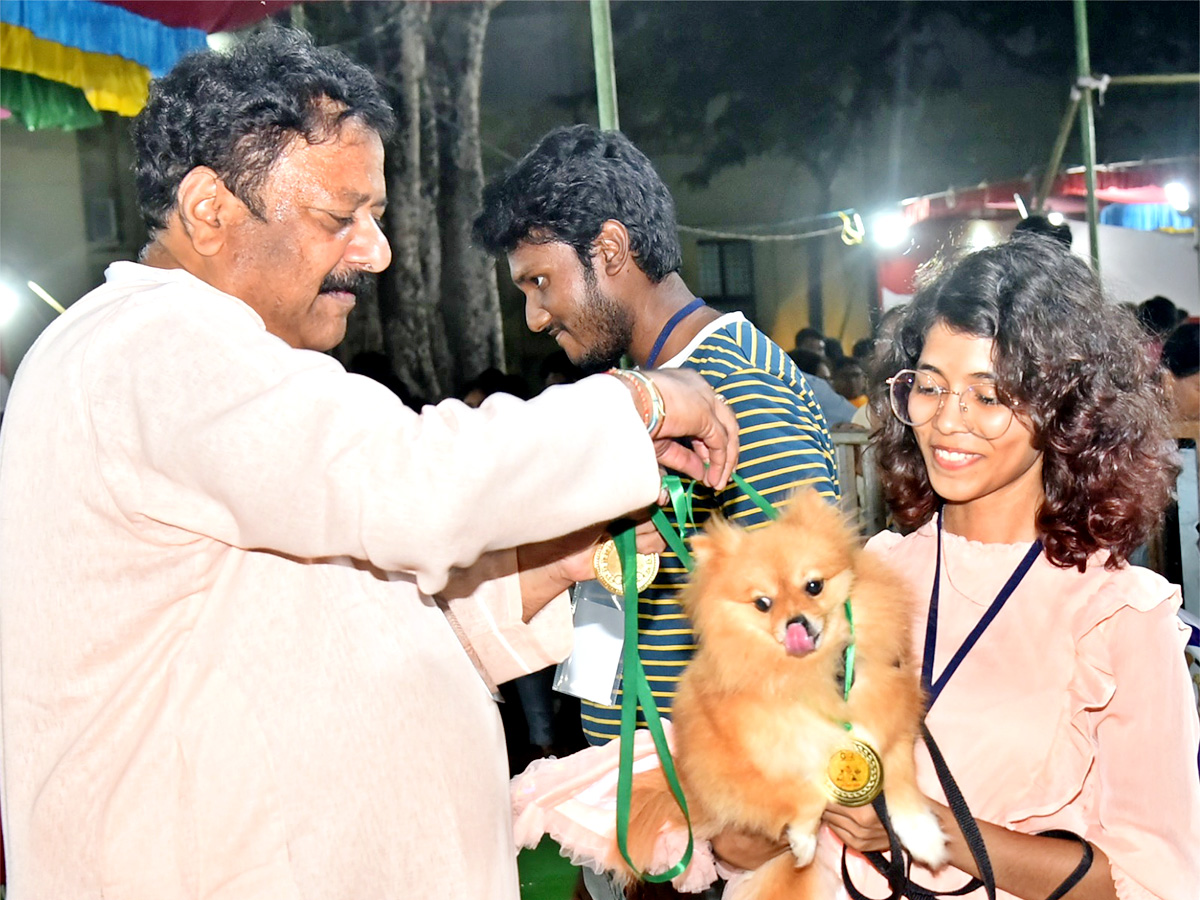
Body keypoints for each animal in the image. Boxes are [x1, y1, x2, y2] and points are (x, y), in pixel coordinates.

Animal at [624, 489, 940, 897]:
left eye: (813, 586)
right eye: (763, 603)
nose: (796, 623)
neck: (812, 674)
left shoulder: (891, 716)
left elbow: (901, 774)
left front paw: (923, 833)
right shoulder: (747, 762)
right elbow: (800, 790)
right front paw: (804, 837)